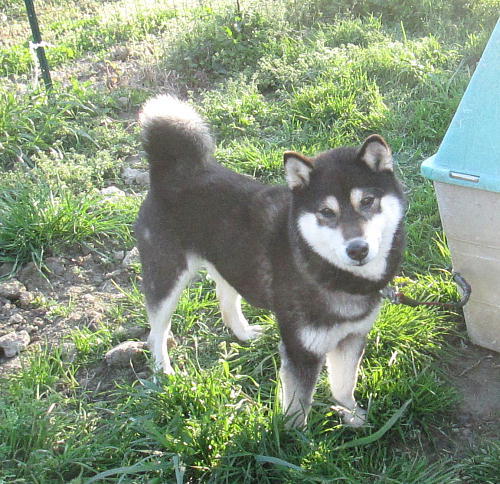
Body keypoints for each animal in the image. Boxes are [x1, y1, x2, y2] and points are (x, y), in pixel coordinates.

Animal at [135, 95, 405, 428]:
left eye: (367, 201)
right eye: (326, 212)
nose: (357, 249)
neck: (328, 272)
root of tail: (172, 172)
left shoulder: (352, 337)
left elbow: (344, 385)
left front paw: (354, 418)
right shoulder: (301, 349)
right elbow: (297, 408)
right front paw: (293, 439)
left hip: (232, 257)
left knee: (225, 294)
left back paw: (243, 332)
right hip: (166, 275)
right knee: (156, 331)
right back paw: (164, 372)